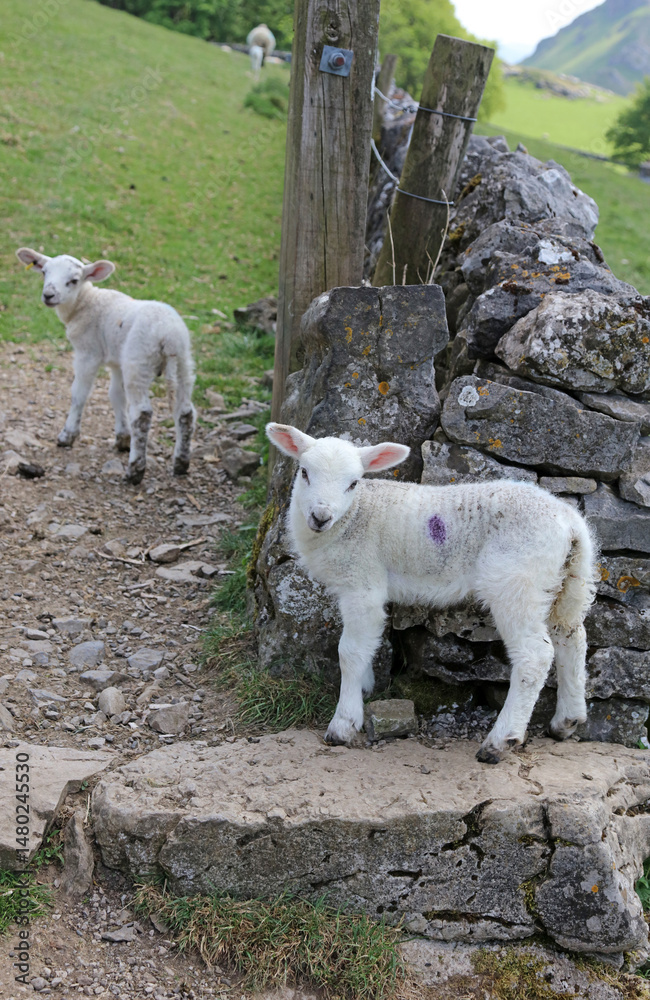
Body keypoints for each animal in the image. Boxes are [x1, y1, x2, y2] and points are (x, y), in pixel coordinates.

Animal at [16, 248, 196, 485]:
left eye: (74, 280)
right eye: (44, 272)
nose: (49, 295)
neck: (85, 303)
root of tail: (169, 335)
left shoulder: (88, 353)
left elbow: (79, 394)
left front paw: (67, 436)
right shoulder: (117, 361)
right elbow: (116, 395)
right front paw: (122, 438)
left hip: (139, 360)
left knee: (142, 414)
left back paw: (135, 470)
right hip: (183, 362)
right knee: (185, 412)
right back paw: (181, 463)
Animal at [266, 422, 598, 764]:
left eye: (353, 483)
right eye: (304, 472)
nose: (320, 517)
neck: (355, 516)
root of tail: (571, 523)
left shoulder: (363, 583)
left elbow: (350, 652)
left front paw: (344, 723)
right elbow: (366, 646)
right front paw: (365, 687)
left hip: (517, 579)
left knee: (534, 655)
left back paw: (500, 740)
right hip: (568, 578)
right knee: (571, 636)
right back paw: (567, 720)